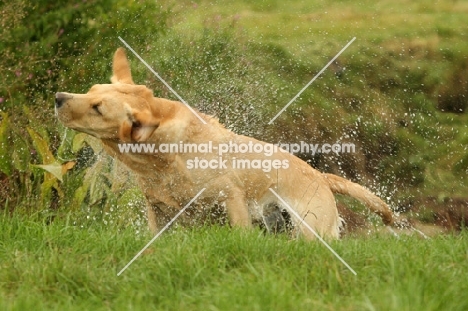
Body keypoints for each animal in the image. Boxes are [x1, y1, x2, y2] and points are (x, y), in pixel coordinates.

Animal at [54, 47, 394, 240]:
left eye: (98, 108)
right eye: (90, 90)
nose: (58, 97)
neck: (164, 156)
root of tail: (321, 176)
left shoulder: (231, 196)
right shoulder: (157, 210)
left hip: (313, 227)